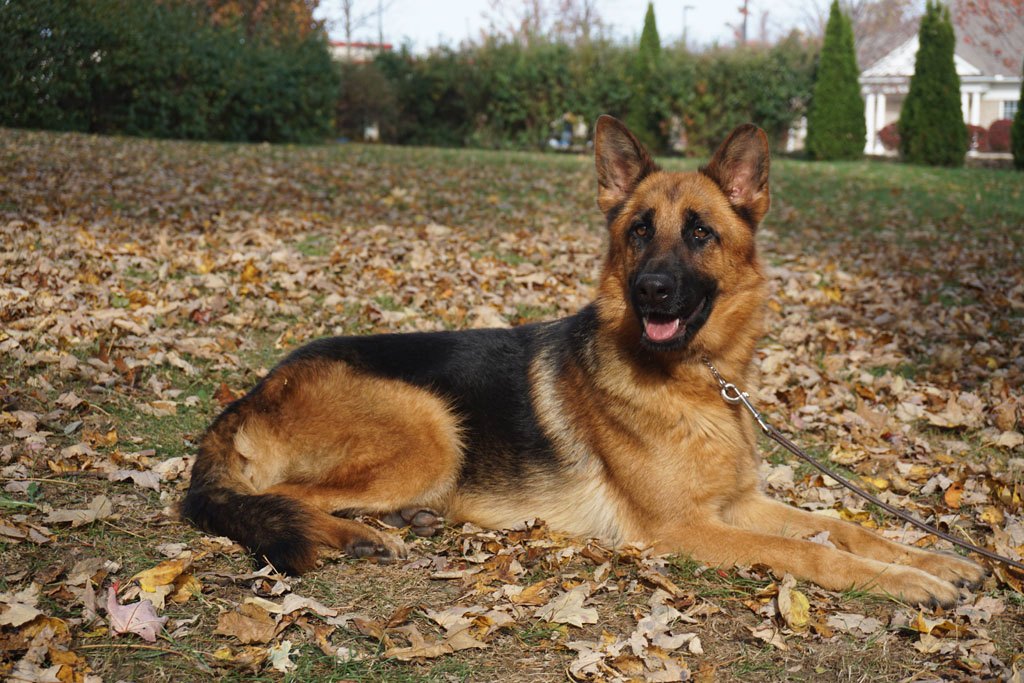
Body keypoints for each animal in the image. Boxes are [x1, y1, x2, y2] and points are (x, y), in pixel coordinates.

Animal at [182, 114, 983, 606]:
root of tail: (252, 394)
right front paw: (906, 581)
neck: (697, 383)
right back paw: (361, 535)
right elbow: (816, 552)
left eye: (700, 232)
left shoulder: (740, 505)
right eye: (638, 231)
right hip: (430, 425)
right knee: (289, 498)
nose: (651, 290)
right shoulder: (684, 530)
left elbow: (845, 526)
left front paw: (933, 560)